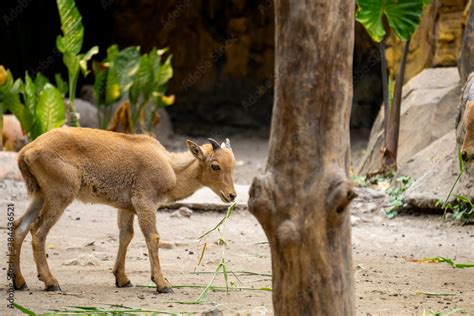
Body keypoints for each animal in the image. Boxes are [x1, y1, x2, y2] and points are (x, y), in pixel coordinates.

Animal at [13, 127, 237, 292]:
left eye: (233, 164)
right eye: (215, 166)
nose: (231, 196)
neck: (172, 169)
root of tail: (27, 151)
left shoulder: (127, 207)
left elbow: (126, 236)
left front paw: (122, 279)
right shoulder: (145, 201)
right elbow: (152, 237)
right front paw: (162, 284)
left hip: (41, 194)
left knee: (19, 227)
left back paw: (19, 282)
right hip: (60, 194)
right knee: (38, 232)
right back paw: (51, 282)